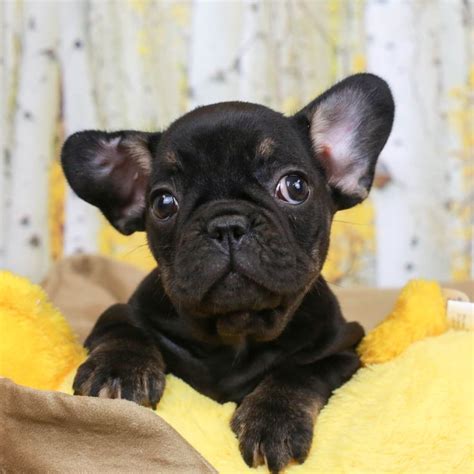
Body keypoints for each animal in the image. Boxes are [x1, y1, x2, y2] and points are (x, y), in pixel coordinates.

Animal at [61, 72, 394, 472]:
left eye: (295, 186)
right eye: (163, 203)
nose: (226, 224)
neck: (238, 330)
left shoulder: (343, 349)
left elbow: (301, 371)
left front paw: (273, 417)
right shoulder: (120, 312)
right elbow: (124, 330)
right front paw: (118, 370)